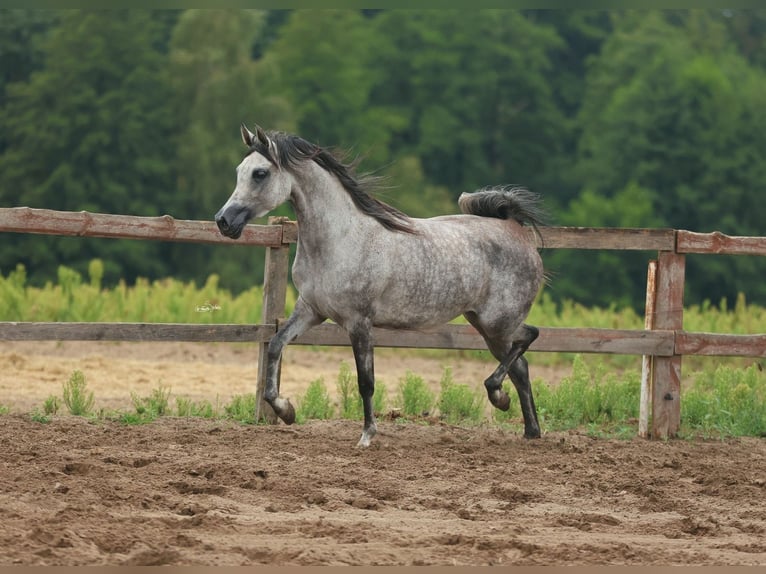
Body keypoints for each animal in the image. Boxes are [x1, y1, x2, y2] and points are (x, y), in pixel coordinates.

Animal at [216, 125, 548, 450]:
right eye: (239, 170)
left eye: (260, 173)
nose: (223, 221)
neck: (340, 239)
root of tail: (516, 230)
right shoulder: (311, 310)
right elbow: (275, 345)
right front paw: (286, 411)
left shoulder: (359, 322)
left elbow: (366, 381)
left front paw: (367, 435)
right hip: (485, 324)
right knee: (522, 366)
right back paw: (528, 429)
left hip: (497, 323)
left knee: (530, 338)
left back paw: (499, 397)